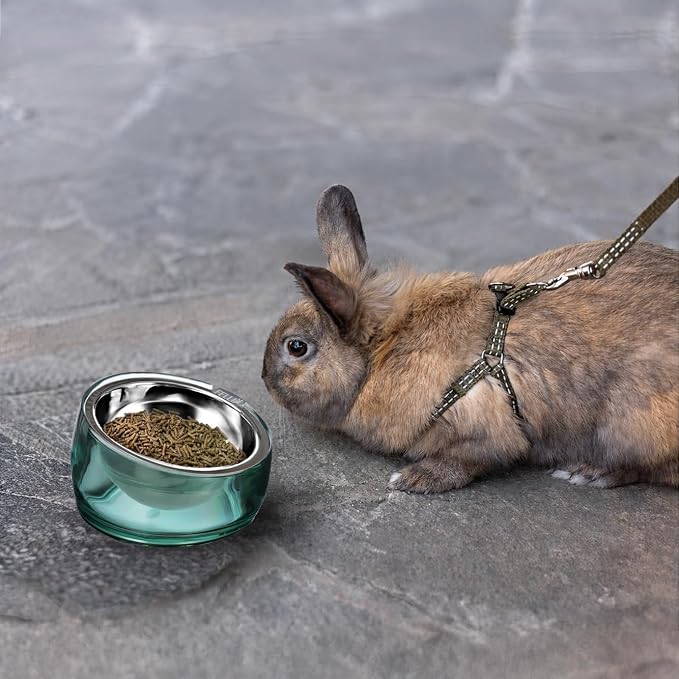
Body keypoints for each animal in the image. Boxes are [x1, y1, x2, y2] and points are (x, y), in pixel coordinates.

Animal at [262, 185, 679, 493]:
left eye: (296, 347)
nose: (264, 379)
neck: (385, 349)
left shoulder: (482, 431)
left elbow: (469, 461)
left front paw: (413, 480)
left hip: (631, 425)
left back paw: (588, 472)